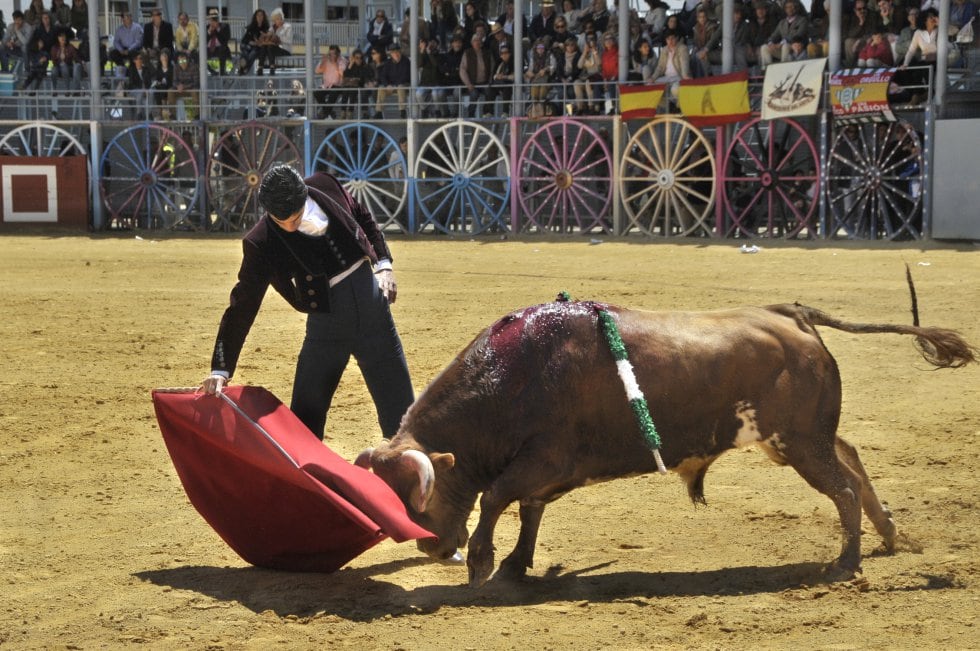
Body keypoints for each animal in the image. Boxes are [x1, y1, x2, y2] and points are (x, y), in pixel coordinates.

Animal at [356, 300, 976, 592]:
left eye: (421, 500)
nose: (432, 549)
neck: (514, 375)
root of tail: (792, 313)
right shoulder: (545, 472)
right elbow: (527, 510)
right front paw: (514, 566)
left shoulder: (543, 459)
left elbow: (495, 498)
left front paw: (483, 565)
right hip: (802, 439)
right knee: (852, 460)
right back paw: (891, 536)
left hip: (799, 443)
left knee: (843, 487)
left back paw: (845, 563)